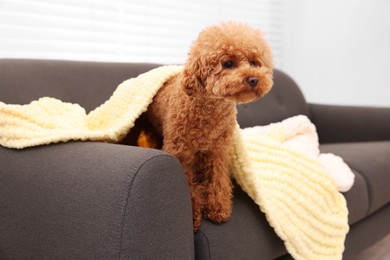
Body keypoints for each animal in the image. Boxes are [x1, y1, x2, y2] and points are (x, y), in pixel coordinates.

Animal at [145, 21, 272, 231]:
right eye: (228, 64)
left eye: (254, 62)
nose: (253, 79)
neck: (210, 110)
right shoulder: (181, 153)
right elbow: (188, 186)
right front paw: (193, 216)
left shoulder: (218, 151)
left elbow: (217, 179)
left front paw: (218, 209)